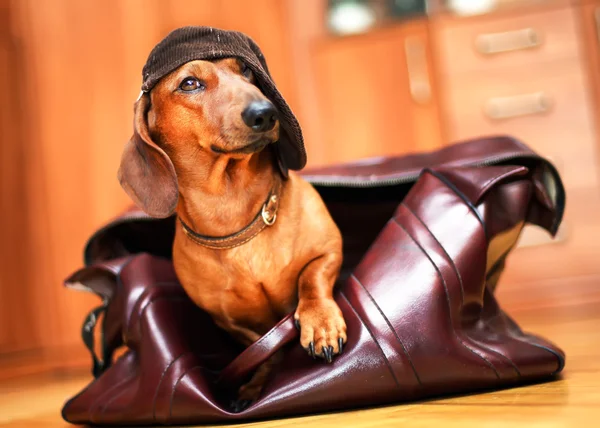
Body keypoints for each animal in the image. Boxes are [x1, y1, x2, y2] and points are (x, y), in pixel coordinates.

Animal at [118, 58, 346, 406]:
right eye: (189, 83)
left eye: (246, 70)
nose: (265, 113)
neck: (235, 216)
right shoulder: (227, 320)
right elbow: (262, 348)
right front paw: (255, 385)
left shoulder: (330, 249)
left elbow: (311, 278)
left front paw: (321, 323)